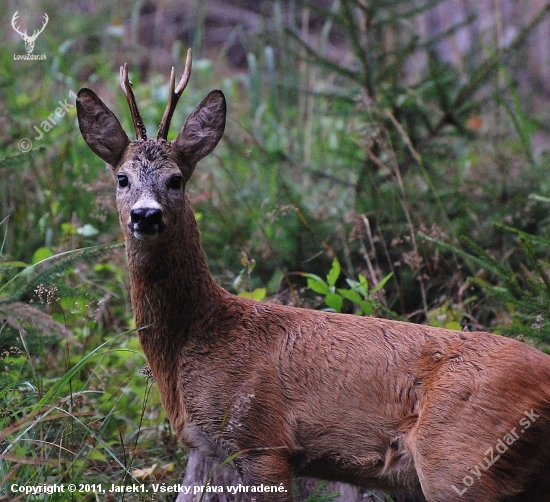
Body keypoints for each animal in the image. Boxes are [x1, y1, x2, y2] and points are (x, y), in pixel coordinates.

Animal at [76, 48, 550, 502]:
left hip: (458, 460)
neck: (196, 341)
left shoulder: (263, 440)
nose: (146, 215)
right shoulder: (209, 449)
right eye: (122, 178)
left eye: (176, 180)